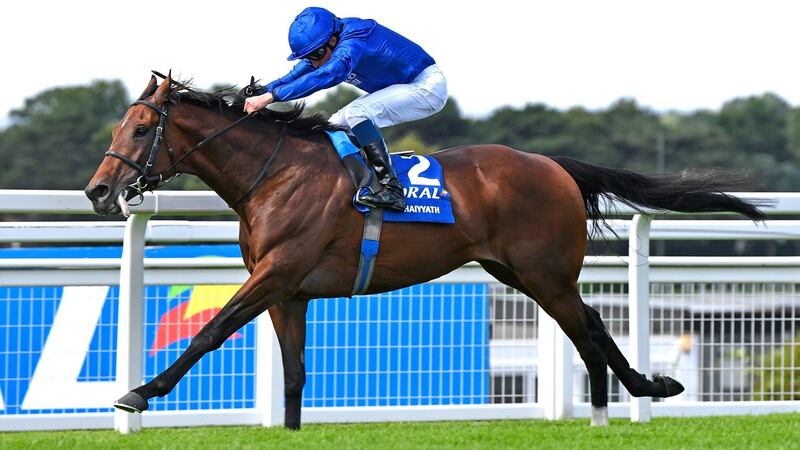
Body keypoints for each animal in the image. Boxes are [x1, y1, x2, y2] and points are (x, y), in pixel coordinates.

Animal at [84, 72, 764, 428]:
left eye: (140, 128)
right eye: (118, 125)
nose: (99, 190)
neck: (274, 174)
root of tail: (556, 165)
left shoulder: (277, 273)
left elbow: (210, 331)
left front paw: (138, 393)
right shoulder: (288, 290)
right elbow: (295, 371)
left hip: (544, 273)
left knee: (588, 327)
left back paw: (624, 400)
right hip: (518, 272)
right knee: (590, 325)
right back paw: (626, 395)